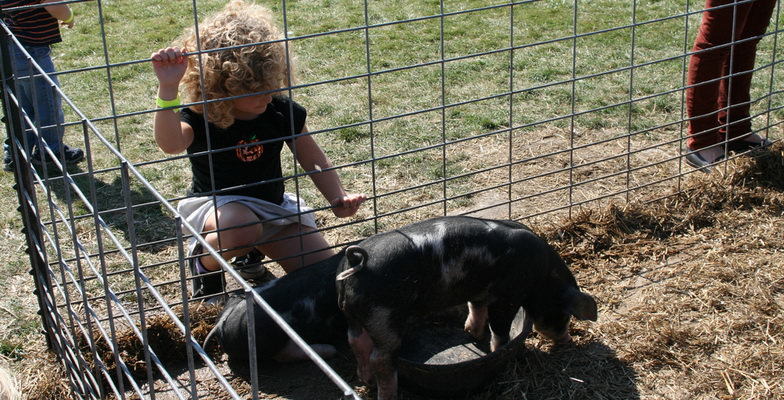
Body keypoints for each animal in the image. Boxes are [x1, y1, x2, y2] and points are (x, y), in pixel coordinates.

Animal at [334, 216, 596, 400]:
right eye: (564, 315)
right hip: (384, 317)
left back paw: (365, 380)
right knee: (381, 357)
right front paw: (497, 351)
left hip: (352, 314)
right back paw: (387, 393)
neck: (542, 276)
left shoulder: (478, 290)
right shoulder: (507, 295)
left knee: (356, 341)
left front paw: (472, 333)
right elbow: (499, 329)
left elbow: (476, 309)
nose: (567, 341)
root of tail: (357, 261)